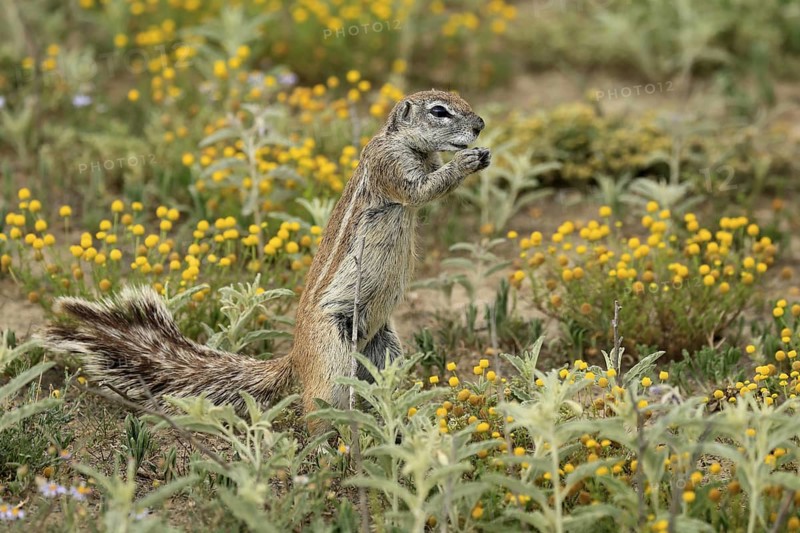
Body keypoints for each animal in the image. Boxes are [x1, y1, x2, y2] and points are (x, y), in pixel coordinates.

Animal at [43, 89, 491, 434]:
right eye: (440, 111)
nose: (481, 125)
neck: (406, 144)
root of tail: (295, 357)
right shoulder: (391, 167)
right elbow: (421, 190)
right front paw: (467, 161)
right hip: (332, 357)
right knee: (318, 410)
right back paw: (333, 450)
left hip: (385, 349)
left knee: (384, 387)